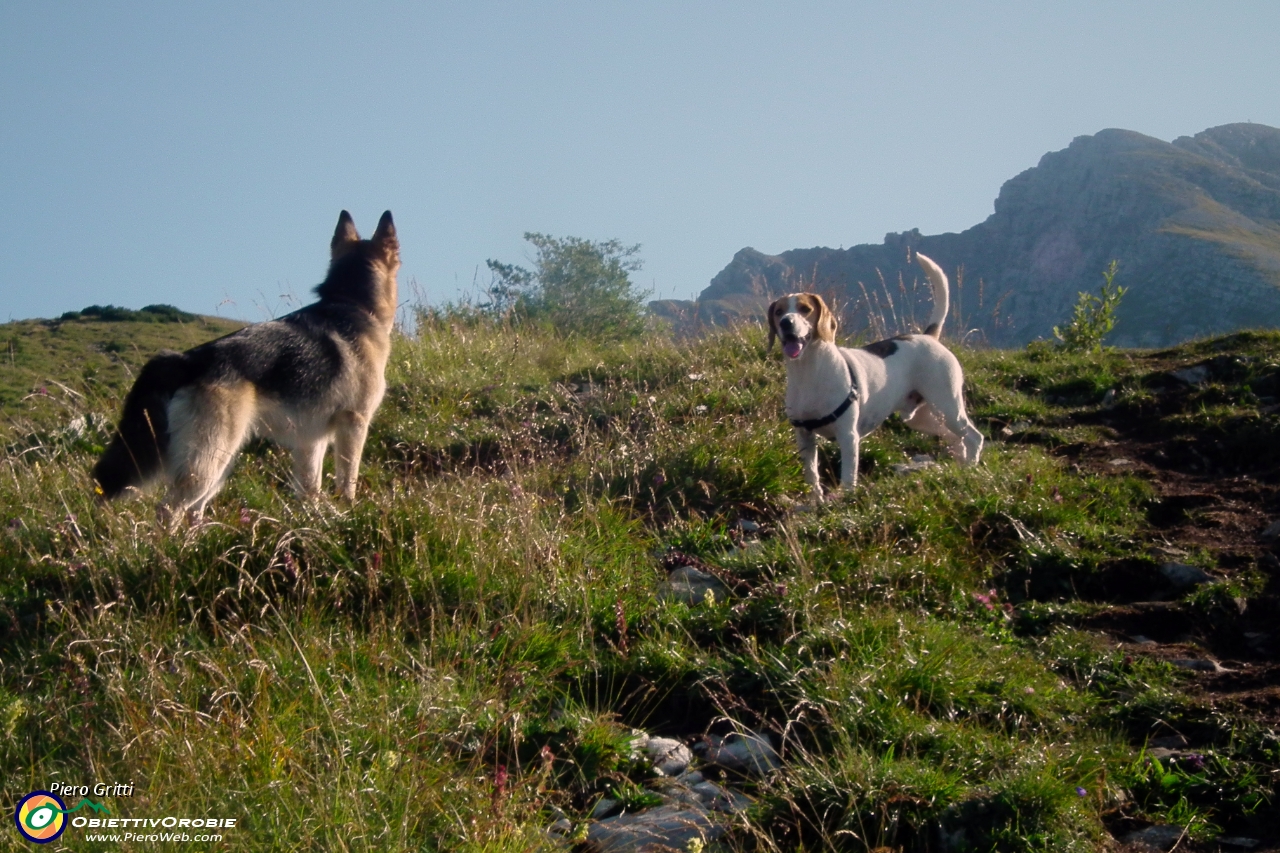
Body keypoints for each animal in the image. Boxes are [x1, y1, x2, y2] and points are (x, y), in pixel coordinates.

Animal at [93, 208, 399, 514]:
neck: (352, 304)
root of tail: (183, 359)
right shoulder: (354, 424)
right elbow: (348, 482)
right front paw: (349, 512)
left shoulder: (310, 441)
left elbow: (310, 490)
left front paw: (314, 518)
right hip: (207, 464)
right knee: (169, 509)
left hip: (221, 463)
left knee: (194, 510)